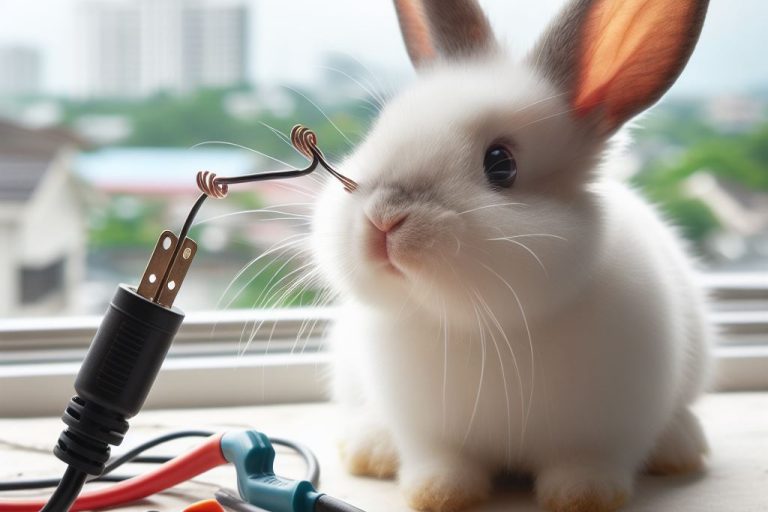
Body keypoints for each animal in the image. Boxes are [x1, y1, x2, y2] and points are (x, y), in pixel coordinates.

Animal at [310, 0, 713, 511]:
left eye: (501, 164)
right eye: (375, 136)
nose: (383, 219)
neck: (484, 328)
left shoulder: (603, 434)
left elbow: (587, 464)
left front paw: (584, 496)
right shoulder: (429, 434)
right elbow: (441, 462)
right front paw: (438, 493)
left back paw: (680, 447)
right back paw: (371, 450)